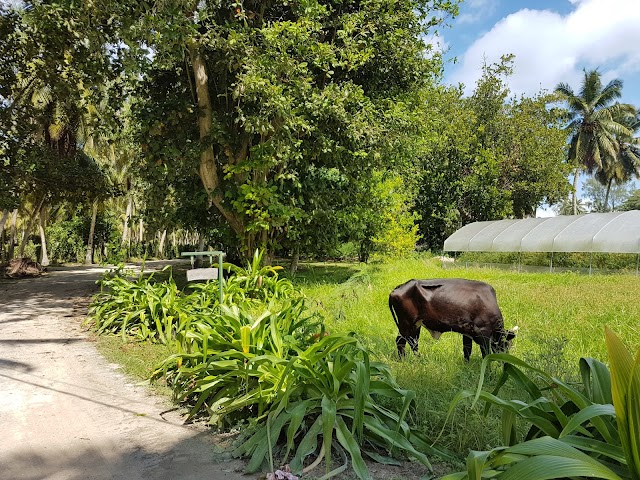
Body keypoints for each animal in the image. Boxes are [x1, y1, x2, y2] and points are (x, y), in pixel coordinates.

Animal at [388, 278, 516, 360]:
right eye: (506, 345)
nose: (505, 362)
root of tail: (397, 289)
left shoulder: (468, 333)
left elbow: (467, 350)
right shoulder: (484, 333)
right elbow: (486, 355)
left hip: (411, 325)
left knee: (408, 342)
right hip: (407, 324)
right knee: (404, 342)